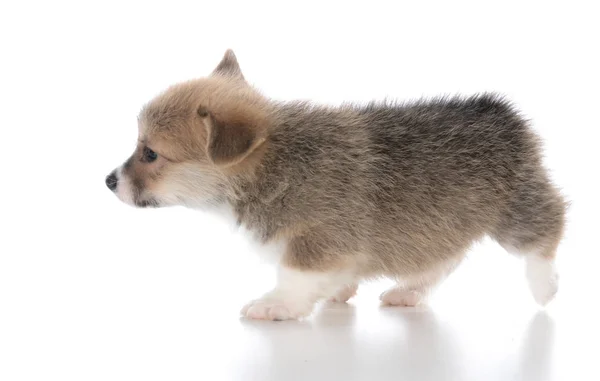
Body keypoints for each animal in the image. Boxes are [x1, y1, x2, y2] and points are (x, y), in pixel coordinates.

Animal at [105, 49, 564, 320]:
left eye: (150, 153)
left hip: (515, 209)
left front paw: (276, 304)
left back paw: (544, 286)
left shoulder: (317, 240)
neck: (275, 161)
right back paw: (408, 292)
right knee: (442, 259)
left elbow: (293, 276)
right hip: (444, 222)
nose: (108, 181)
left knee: (548, 228)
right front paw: (339, 290)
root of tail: (503, 115)